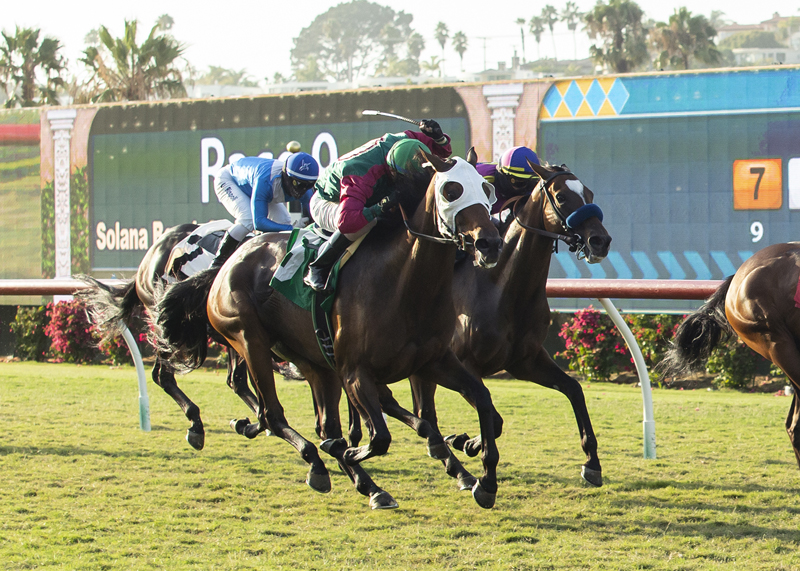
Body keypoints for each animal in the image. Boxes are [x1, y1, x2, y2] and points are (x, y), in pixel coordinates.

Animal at [153, 152, 504, 510]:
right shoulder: (355, 372)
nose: (489, 243)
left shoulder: (433, 361)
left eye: (486, 189)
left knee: (322, 424)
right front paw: (350, 452)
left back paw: (367, 484)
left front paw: (485, 480)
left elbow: (483, 400)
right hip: (250, 341)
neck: (404, 282)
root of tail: (225, 264)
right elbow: (380, 437)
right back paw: (321, 462)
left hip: (314, 363)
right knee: (273, 415)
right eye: (451, 190)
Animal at [382, 160, 612, 488]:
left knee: (423, 410)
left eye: (589, 193)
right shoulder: (466, 363)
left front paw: (592, 462)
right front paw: (469, 443)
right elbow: (494, 416)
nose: (600, 241)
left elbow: (574, 389)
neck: (501, 288)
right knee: (420, 409)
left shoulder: (526, 360)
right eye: (561, 196)